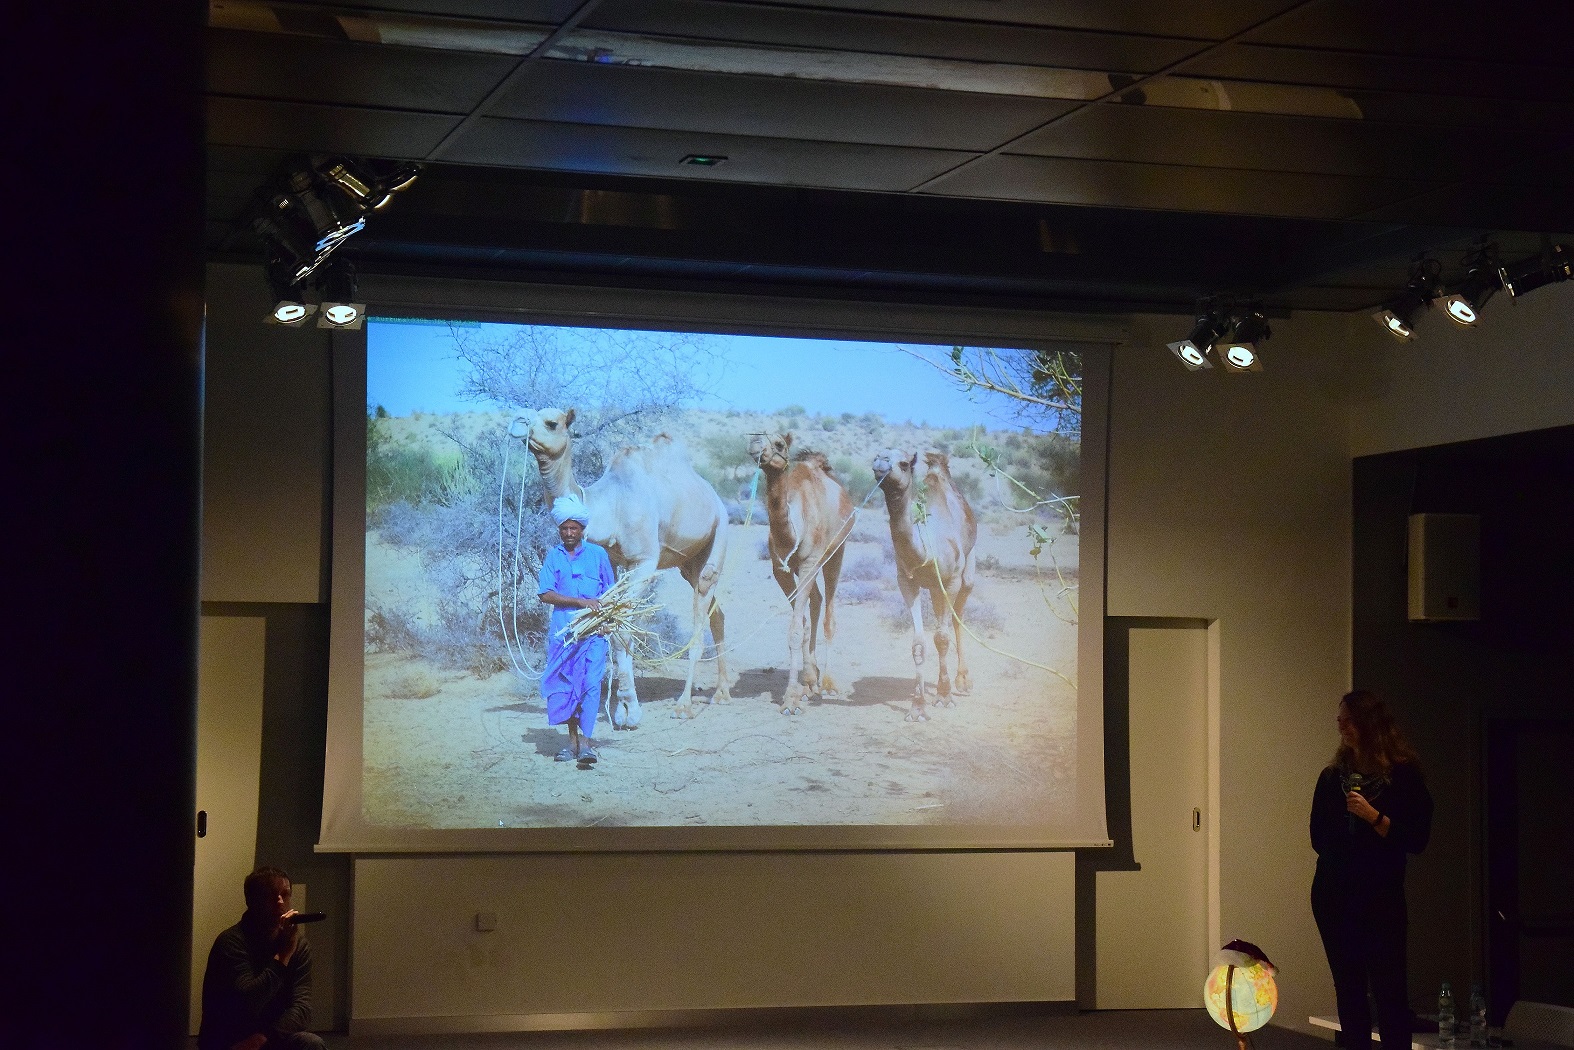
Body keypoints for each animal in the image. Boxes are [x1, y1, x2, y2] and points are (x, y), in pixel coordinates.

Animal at [519, 409, 733, 724]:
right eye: (527, 418)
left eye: (551, 423)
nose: (521, 429)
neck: (611, 505)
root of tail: (714, 496)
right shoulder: (610, 560)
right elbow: (609, 622)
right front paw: (622, 707)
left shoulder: (644, 561)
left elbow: (622, 630)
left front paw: (629, 710)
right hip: (688, 563)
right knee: (716, 613)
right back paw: (721, 693)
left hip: (719, 532)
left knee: (701, 619)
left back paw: (684, 705)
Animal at [746, 431, 856, 717]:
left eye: (779, 443)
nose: (754, 445)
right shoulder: (781, 569)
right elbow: (801, 623)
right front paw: (803, 684)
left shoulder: (809, 563)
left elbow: (796, 629)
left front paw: (789, 701)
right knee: (816, 601)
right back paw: (812, 681)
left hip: (836, 552)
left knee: (829, 614)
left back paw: (827, 683)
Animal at [875, 443, 969, 724]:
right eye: (875, 456)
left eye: (904, 463)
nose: (880, 462)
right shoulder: (907, 582)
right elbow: (919, 643)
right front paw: (917, 708)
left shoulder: (952, 580)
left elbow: (942, 637)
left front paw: (945, 697)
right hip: (935, 589)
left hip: (966, 573)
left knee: (959, 615)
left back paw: (962, 682)